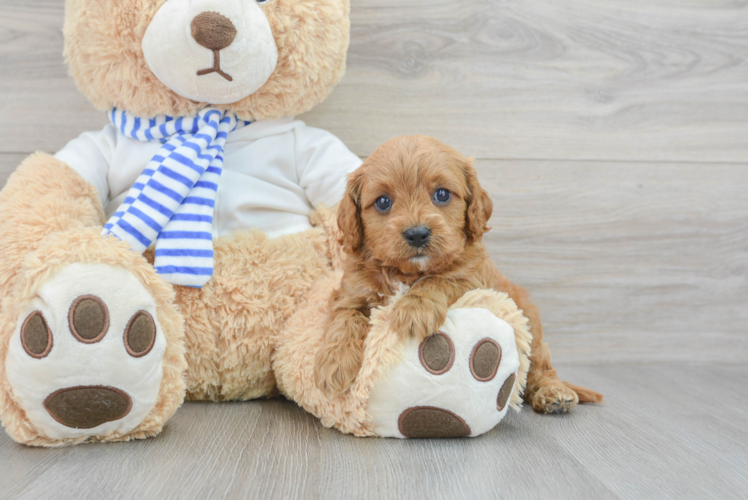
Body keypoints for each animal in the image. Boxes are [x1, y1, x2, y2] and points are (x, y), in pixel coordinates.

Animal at [312, 135, 604, 412]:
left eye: (442, 194)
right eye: (383, 202)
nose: (417, 234)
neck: (407, 273)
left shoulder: (474, 279)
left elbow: (440, 279)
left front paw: (414, 310)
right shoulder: (350, 292)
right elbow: (344, 319)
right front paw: (333, 364)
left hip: (531, 324)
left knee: (540, 367)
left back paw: (553, 393)